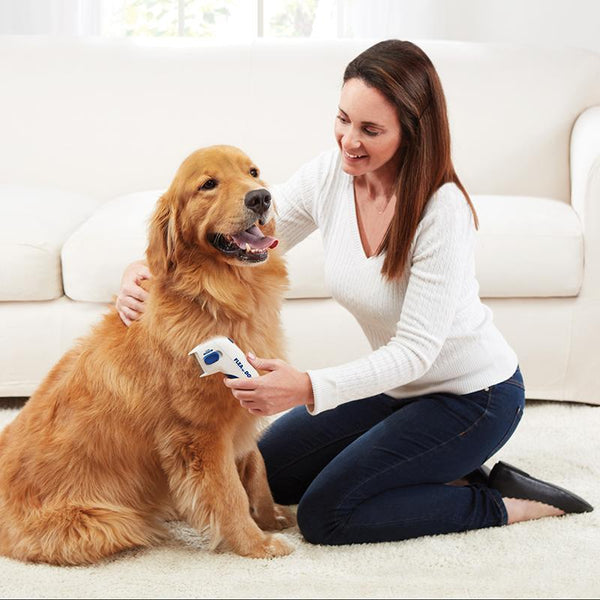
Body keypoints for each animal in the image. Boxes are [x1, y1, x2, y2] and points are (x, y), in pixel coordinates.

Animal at [0, 144, 296, 564]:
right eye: (208, 184)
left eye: (253, 172)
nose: (261, 198)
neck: (213, 297)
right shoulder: (201, 433)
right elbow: (229, 494)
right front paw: (256, 544)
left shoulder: (242, 402)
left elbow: (257, 468)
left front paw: (271, 517)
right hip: (110, 522)